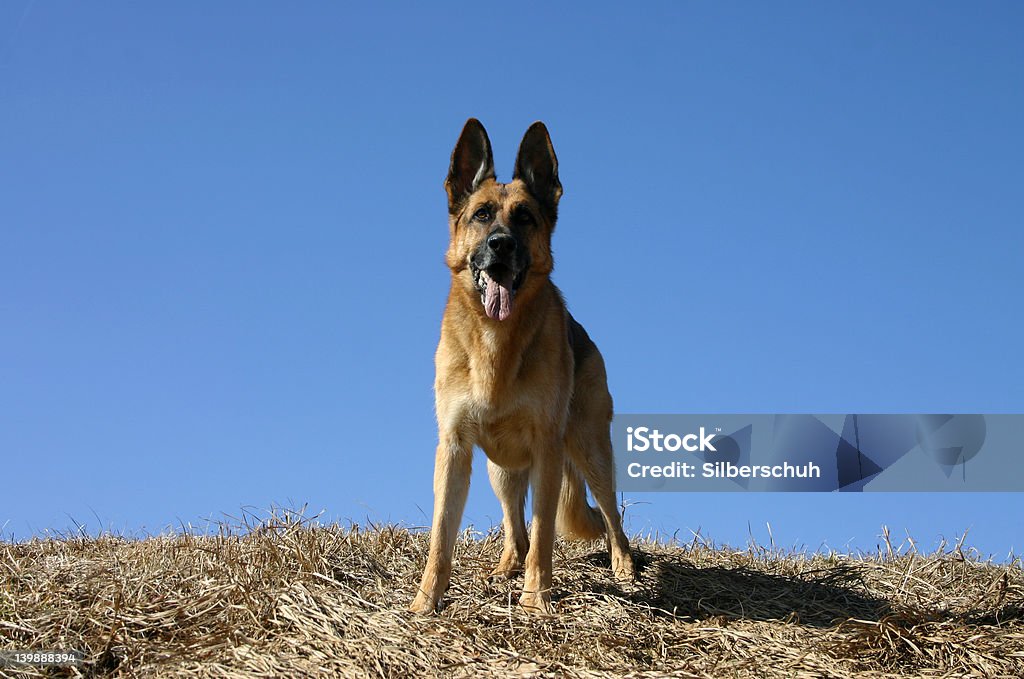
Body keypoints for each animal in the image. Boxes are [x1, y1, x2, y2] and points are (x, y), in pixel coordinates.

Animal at [407, 118, 630, 614]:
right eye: (482, 215)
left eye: (525, 217)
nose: (501, 245)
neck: (496, 342)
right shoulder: (454, 447)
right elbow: (441, 535)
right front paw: (425, 602)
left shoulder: (548, 448)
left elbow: (546, 532)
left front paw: (535, 601)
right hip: (501, 470)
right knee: (516, 526)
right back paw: (507, 564)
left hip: (589, 450)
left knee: (610, 513)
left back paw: (624, 566)